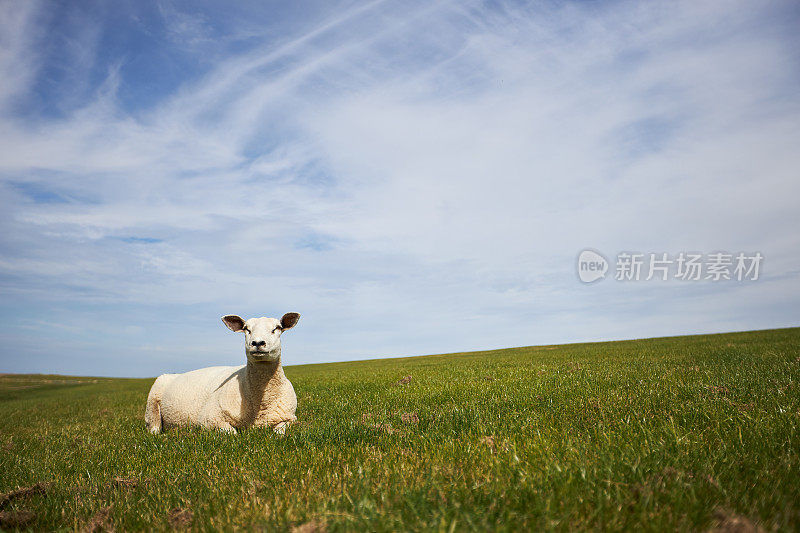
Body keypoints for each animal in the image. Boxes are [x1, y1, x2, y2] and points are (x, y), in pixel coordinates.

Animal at [144, 312, 300, 432]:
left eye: (277, 328)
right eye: (246, 329)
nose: (257, 343)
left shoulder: (290, 418)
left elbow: (280, 431)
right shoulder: (209, 417)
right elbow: (231, 433)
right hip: (152, 404)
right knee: (154, 427)